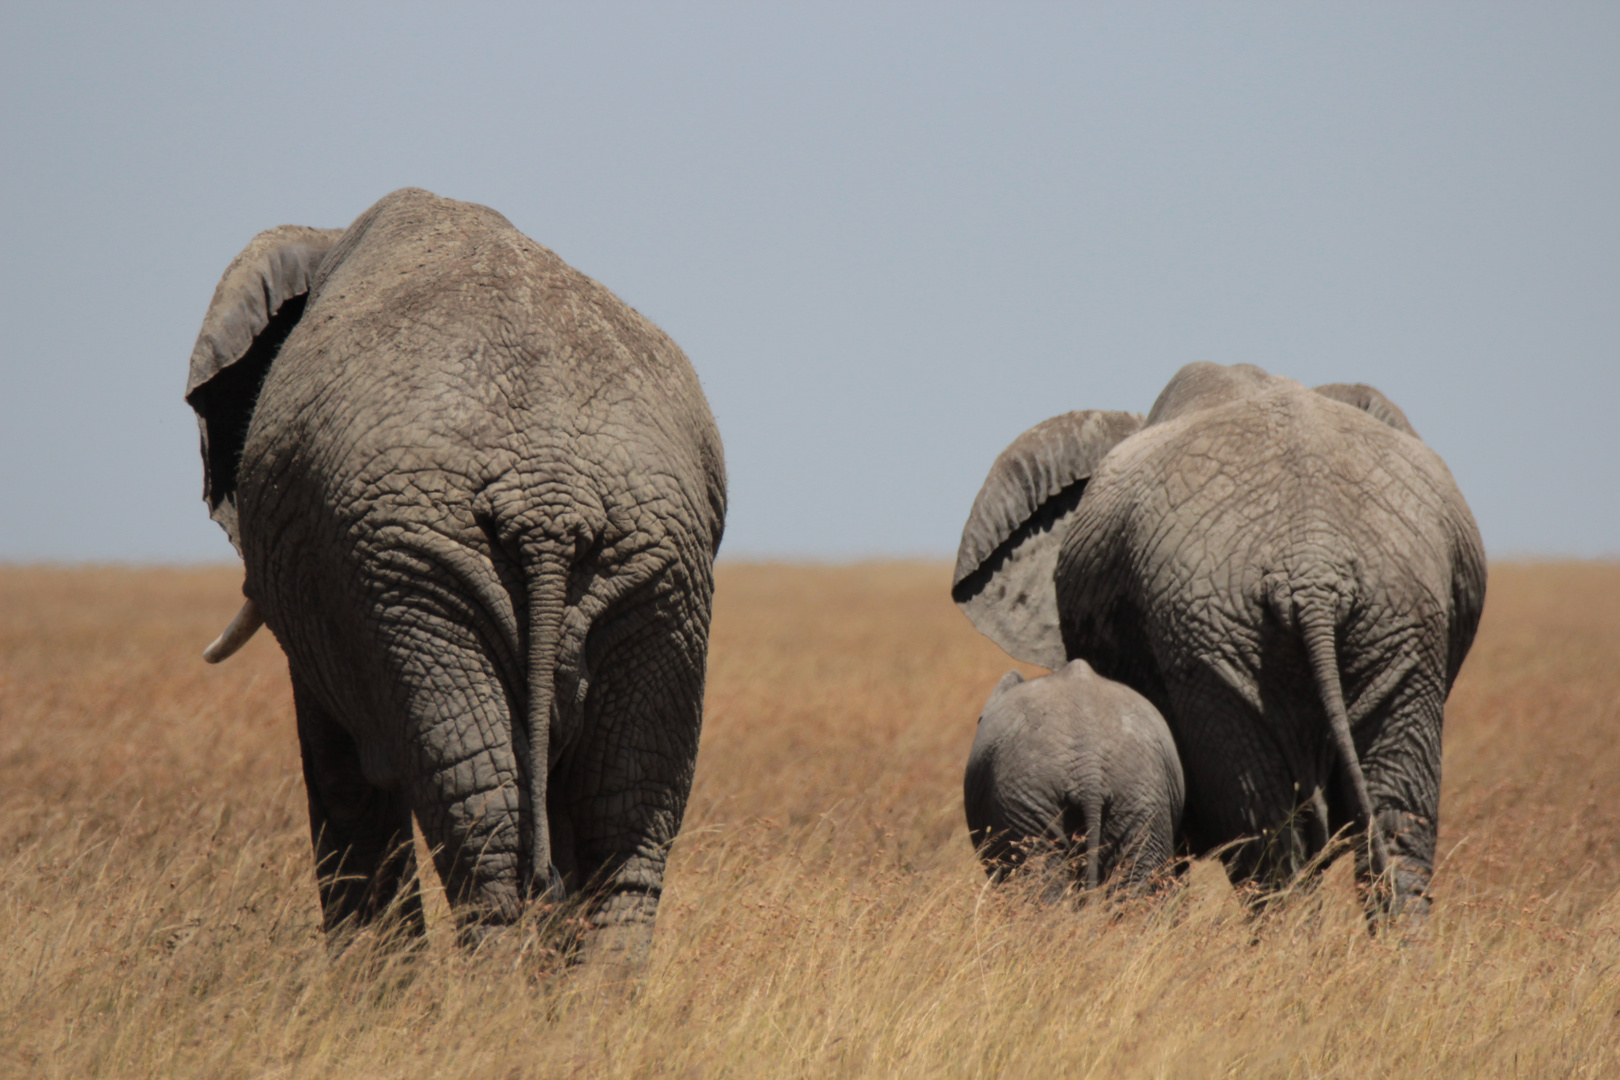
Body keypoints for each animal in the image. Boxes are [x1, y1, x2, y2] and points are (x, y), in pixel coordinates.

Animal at [182, 187, 729, 971]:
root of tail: (549, 498)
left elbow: (339, 771)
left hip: (415, 572)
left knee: (485, 814)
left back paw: (491, 1000)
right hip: (657, 568)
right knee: (621, 821)